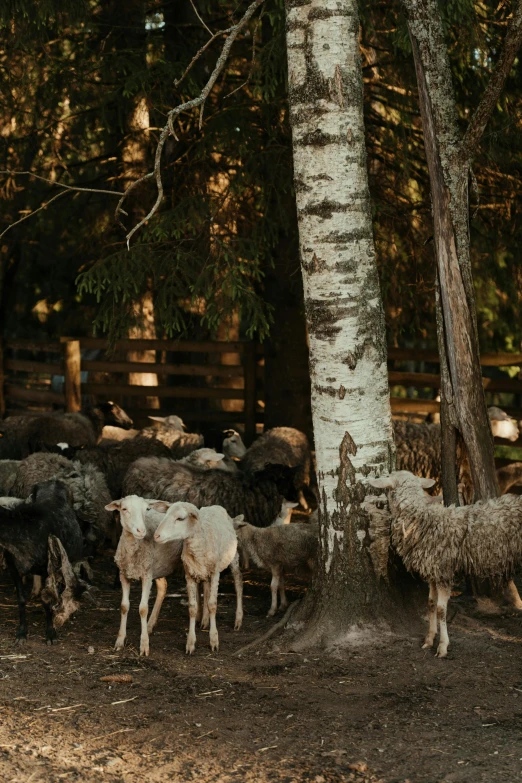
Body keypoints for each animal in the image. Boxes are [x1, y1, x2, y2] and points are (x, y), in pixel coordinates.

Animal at [0, 480, 90, 648]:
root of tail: (54, 481)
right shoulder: (13, 567)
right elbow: (21, 599)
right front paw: (21, 633)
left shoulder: (48, 569)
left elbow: (47, 600)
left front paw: (50, 634)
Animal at [104, 496, 182, 656]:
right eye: (124, 509)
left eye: (146, 509)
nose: (141, 530)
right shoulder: (124, 575)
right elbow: (124, 606)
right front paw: (120, 641)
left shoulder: (146, 576)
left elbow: (143, 609)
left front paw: (144, 645)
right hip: (157, 566)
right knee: (163, 587)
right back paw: (150, 624)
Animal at [148, 502, 242, 656]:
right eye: (166, 514)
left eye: (180, 518)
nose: (156, 535)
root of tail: (216, 506)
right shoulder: (189, 575)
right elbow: (192, 607)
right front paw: (190, 643)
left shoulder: (215, 573)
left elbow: (213, 605)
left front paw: (214, 640)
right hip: (201, 571)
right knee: (205, 589)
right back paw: (203, 620)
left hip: (233, 557)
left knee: (238, 583)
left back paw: (238, 620)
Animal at [366, 472, 522, 660]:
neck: (421, 521)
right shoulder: (433, 572)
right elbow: (431, 603)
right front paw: (429, 639)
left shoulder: (443, 572)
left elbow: (441, 609)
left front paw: (442, 646)